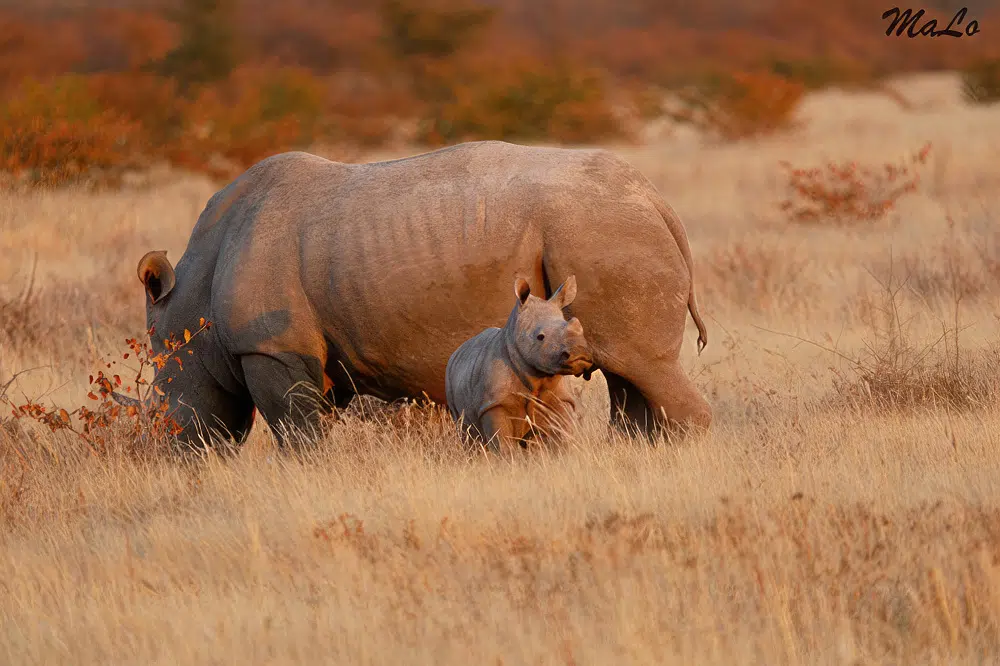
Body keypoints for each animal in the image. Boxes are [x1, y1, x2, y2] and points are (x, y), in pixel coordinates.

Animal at [445, 275, 593, 453]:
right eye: (540, 337)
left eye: (578, 326)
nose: (579, 352)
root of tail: (456, 352)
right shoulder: (494, 403)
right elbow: (503, 444)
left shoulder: (561, 398)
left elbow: (560, 436)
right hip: (451, 379)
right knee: (467, 434)